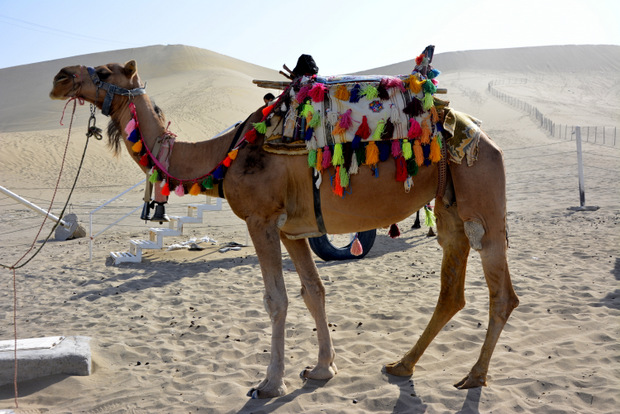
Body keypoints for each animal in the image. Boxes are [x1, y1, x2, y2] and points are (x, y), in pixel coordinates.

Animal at [50, 59, 520, 400]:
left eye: (105, 71)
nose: (60, 77)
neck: (223, 154)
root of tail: (484, 136)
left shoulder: (260, 221)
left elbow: (275, 299)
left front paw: (269, 384)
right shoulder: (293, 231)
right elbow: (313, 292)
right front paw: (322, 369)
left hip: (481, 195)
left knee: (502, 294)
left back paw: (474, 377)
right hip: (450, 206)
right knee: (452, 290)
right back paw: (401, 365)